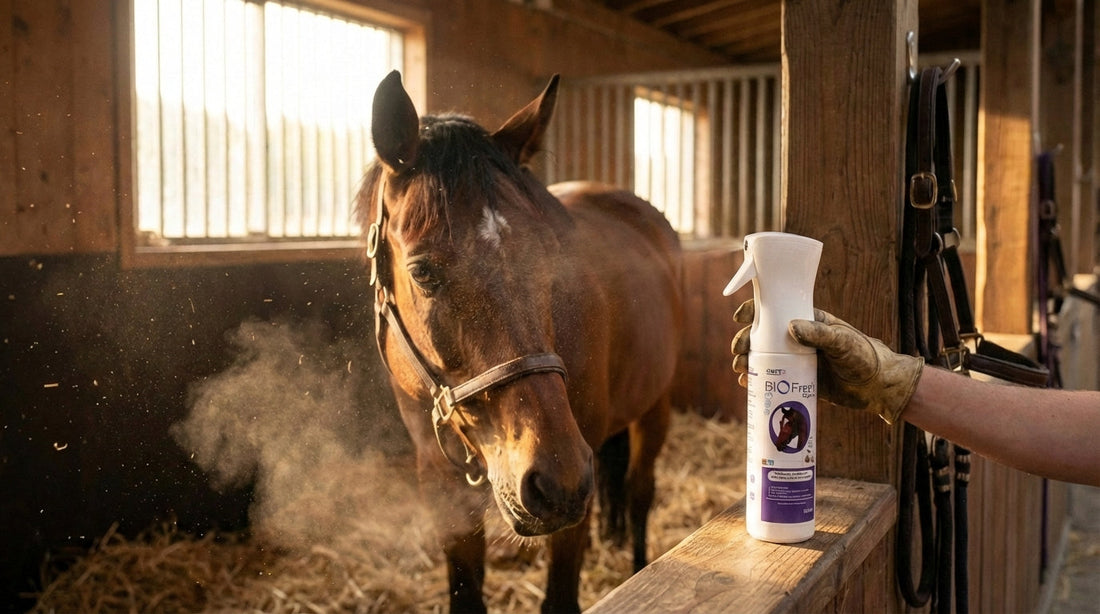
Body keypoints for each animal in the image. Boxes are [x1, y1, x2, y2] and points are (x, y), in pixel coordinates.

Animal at [357, 71, 683, 613]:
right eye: (422, 271)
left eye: (551, 258)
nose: (555, 478)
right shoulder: (441, 484)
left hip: (654, 406)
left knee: (639, 492)